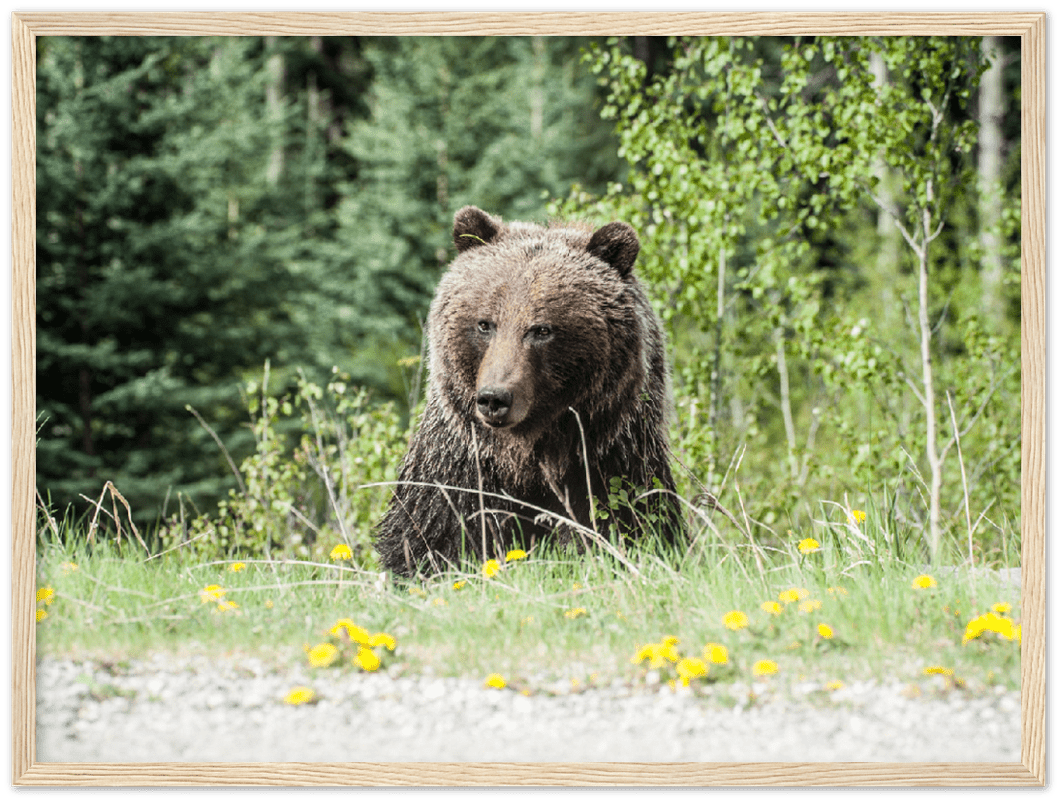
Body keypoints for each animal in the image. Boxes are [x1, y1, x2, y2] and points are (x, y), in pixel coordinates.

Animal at [374, 205, 683, 576]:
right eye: (485, 324)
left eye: (541, 330)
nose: (494, 398)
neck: (527, 455)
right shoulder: (461, 465)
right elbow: (432, 536)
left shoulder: (608, 458)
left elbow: (626, 524)